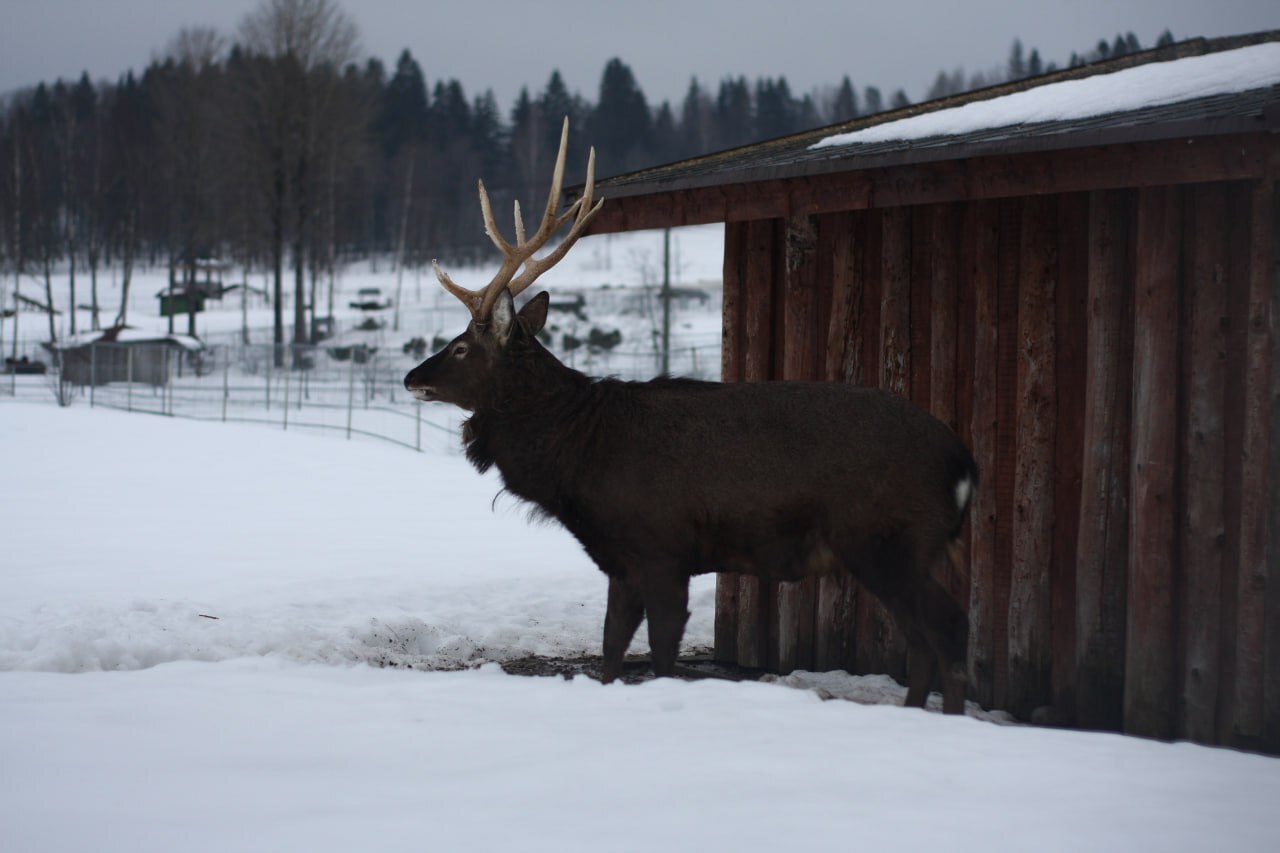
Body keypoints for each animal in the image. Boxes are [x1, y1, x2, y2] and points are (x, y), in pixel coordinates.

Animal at [404, 114, 972, 712]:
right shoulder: (621, 559)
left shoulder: (663, 548)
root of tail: (964, 465)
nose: (411, 377)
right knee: (923, 638)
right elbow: (610, 651)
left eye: (461, 347)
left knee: (949, 627)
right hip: (901, 548)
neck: (579, 457)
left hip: (889, 537)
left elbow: (660, 655)